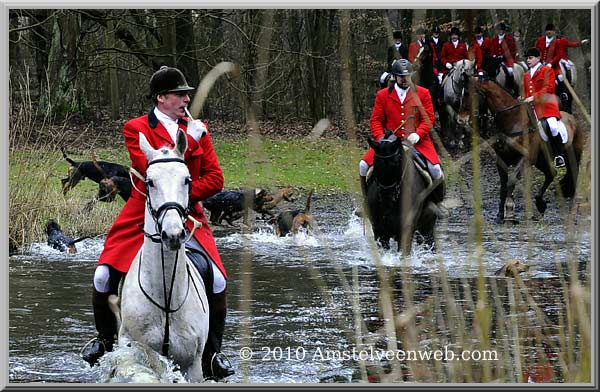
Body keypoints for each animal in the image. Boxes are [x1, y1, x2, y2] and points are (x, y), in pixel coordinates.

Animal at [460, 76, 580, 224]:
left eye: (467, 93)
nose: (460, 119)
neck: (513, 121)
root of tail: (572, 118)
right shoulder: (501, 161)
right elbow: (503, 186)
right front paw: (500, 214)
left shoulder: (524, 159)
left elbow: (511, 181)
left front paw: (510, 211)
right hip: (541, 160)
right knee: (551, 173)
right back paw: (540, 205)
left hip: (572, 158)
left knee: (574, 175)